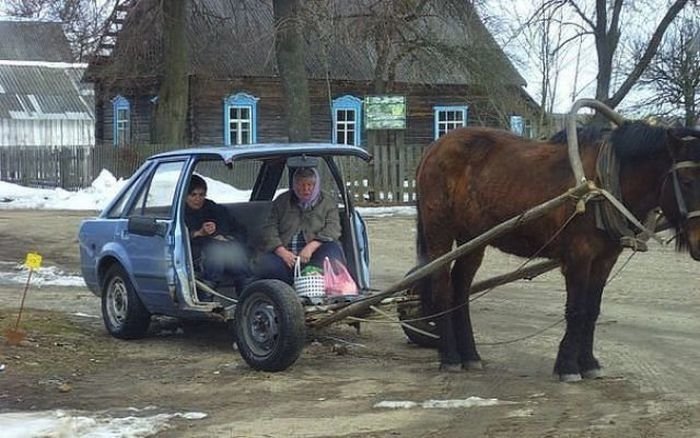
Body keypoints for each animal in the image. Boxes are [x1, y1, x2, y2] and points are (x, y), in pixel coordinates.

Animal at [412, 112, 700, 380]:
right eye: (687, 181)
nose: (699, 243)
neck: (602, 186)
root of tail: (433, 148)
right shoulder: (578, 256)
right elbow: (576, 309)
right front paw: (569, 366)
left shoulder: (605, 259)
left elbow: (592, 310)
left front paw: (589, 363)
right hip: (440, 232)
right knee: (442, 288)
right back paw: (450, 356)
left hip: (472, 239)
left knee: (460, 290)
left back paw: (470, 355)